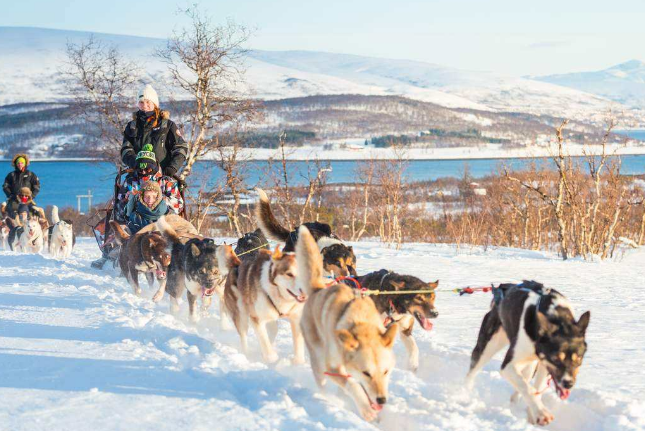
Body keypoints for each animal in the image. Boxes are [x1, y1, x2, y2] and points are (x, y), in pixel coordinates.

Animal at [296, 228, 398, 424]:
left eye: (386, 372)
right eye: (366, 373)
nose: (382, 400)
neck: (361, 322)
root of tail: (318, 289)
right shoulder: (334, 368)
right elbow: (354, 386)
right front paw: (366, 410)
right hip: (318, 360)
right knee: (322, 382)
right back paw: (326, 398)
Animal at [462, 282, 588, 426]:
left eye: (579, 359)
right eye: (555, 359)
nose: (568, 383)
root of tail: (503, 287)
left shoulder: (544, 367)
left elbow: (535, 389)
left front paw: (534, 414)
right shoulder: (508, 366)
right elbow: (527, 388)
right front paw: (541, 413)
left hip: (530, 364)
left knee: (522, 383)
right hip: (487, 348)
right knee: (472, 372)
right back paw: (464, 395)